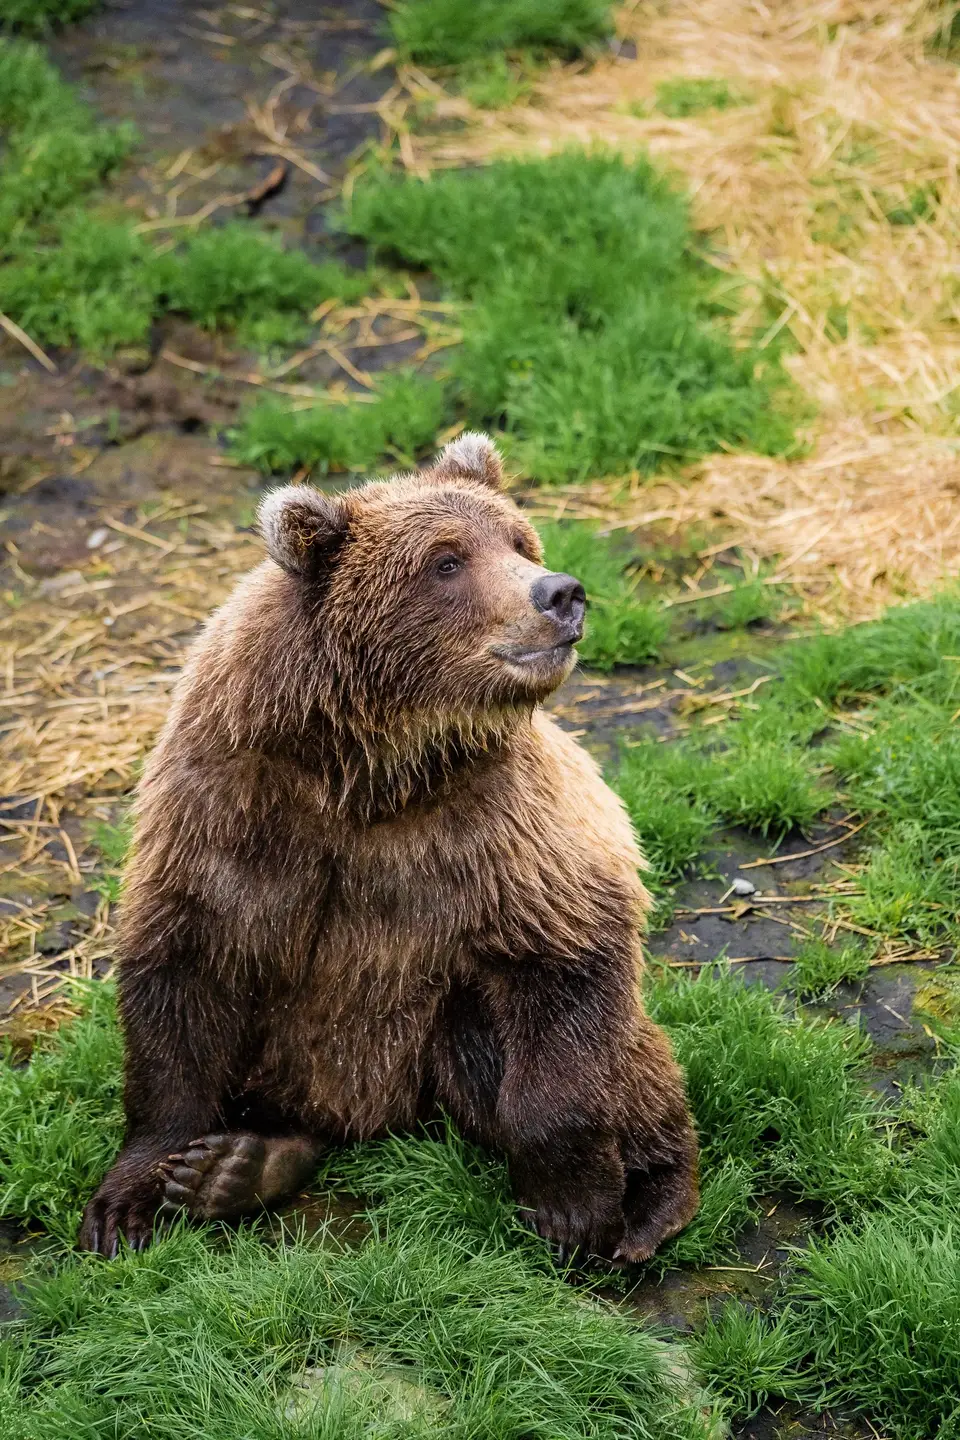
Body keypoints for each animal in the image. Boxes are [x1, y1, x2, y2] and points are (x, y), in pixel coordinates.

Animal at [78, 433, 699, 1262]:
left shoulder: (506, 830)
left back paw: (656, 1199)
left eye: (518, 541)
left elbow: (566, 961)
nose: (561, 593)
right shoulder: (225, 809)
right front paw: (129, 1198)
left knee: (591, 1050)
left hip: (432, 1027)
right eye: (446, 560)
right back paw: (241, 1165)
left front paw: (578, 1205)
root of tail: (374, 1115)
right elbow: (180, 978)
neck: (370, 772)